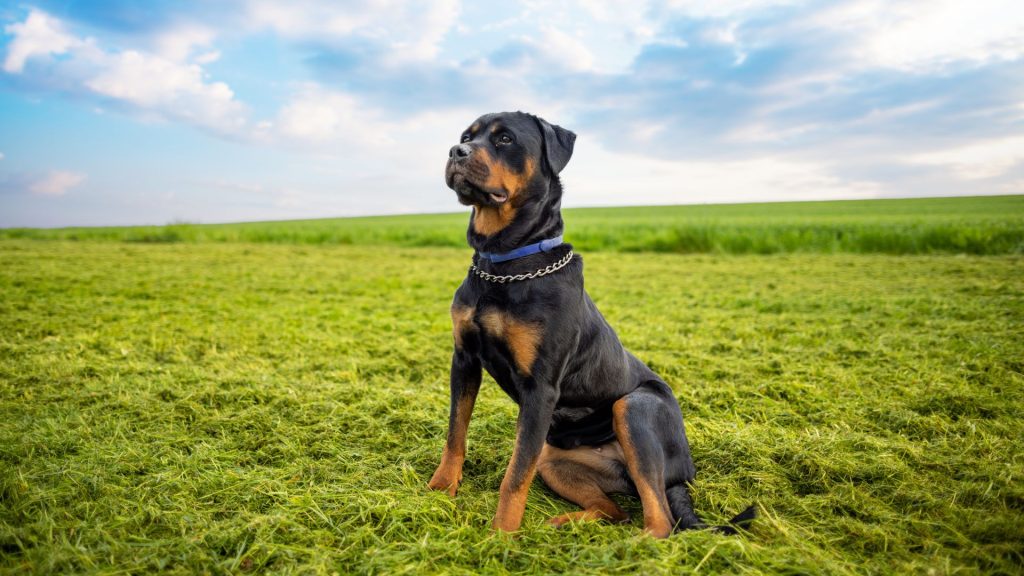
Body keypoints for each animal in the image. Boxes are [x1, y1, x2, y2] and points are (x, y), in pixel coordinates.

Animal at [423, 111, 753, 532]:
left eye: (505, 139)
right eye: (467, 136)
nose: (456, 151)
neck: (504, 264)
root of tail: (683, 476)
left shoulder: (541, 388)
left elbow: (514, 475)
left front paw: (501, 535)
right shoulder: (464, 359)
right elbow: (455, 433)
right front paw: (439, 490)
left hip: (634, 408)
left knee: (660, 520)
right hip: (554, 460)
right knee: (614, 510)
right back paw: (561, 524)